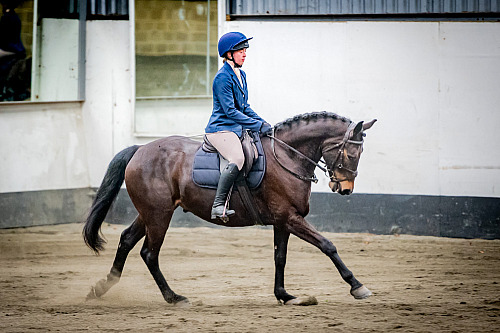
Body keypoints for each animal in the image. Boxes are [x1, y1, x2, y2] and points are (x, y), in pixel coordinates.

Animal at [84, 112, 376, 306]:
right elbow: (328, 245)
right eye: (352, 154)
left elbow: (279, 257)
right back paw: (173, 297)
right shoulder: (290, 217)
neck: (287, 156)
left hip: (150, 213)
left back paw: (101, 288)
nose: (345, 189)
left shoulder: (282, 220)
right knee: (149, 253)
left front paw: (284, 295)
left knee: (126, 240)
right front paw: (357, 286)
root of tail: (139, 149)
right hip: (158, 216)